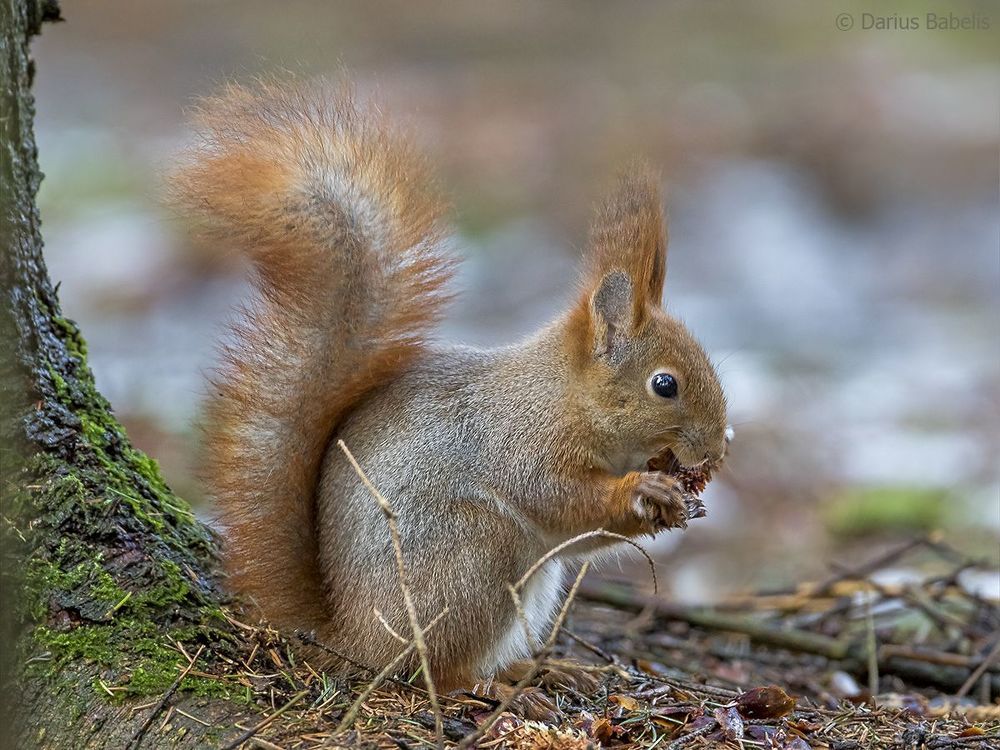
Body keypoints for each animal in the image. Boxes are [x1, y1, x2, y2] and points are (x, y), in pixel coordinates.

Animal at [170, 78, 729, 701]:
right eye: (665, 385)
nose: (718, 449)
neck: (566, 397)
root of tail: (346, 638)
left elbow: (584, 534)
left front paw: (678, 503)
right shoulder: (522, 442)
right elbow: (559, 497)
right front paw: (645, 491)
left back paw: (542, 669)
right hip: (475, 557)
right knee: (435, 670)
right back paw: (500, 687)